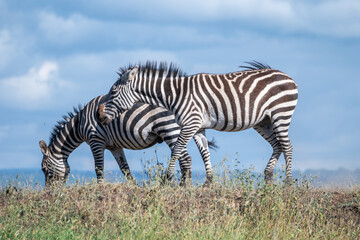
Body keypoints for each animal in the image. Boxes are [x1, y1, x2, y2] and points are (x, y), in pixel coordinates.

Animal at [38, 94, 217, 187]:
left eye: (44, 169)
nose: (49, 193)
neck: (79, 124)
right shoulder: (114, 146)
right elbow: (125, 169)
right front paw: (134, 187)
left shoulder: (96, 140)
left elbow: (99, 168)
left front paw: (100, 189)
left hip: (169, 129)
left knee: (185, 159)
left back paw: (184, 187)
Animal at [98, 60, 298, 184]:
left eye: (113, 92)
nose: (100, 117)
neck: (176, 94)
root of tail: (287, 76)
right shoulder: (198, 127)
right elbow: (204, 152)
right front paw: (209, 182)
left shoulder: (190, 124)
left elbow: (177, 150)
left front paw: (166, 179)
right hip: (263, 121)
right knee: (277, 145)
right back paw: (268, 177)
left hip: (281, 114)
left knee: (287, 147)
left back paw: (287, 183)